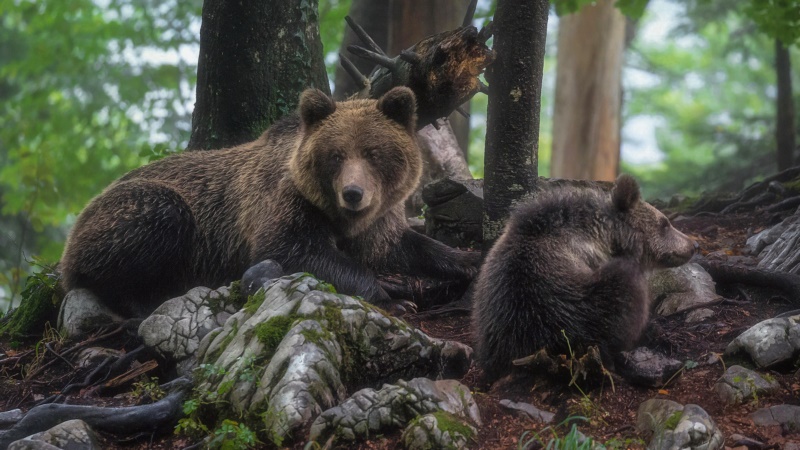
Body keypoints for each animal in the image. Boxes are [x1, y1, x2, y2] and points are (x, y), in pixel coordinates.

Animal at [61, 88, 482, 318]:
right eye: (336, 155)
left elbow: (404, 245)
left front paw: (468, 260)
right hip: (134, 209)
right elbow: (293, 249)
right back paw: (143, 301)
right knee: (156, 221)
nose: (353, 193)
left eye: (373, 152)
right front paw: (392, 298)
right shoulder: (287, 204)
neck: (341, 218)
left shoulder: (377, 221)